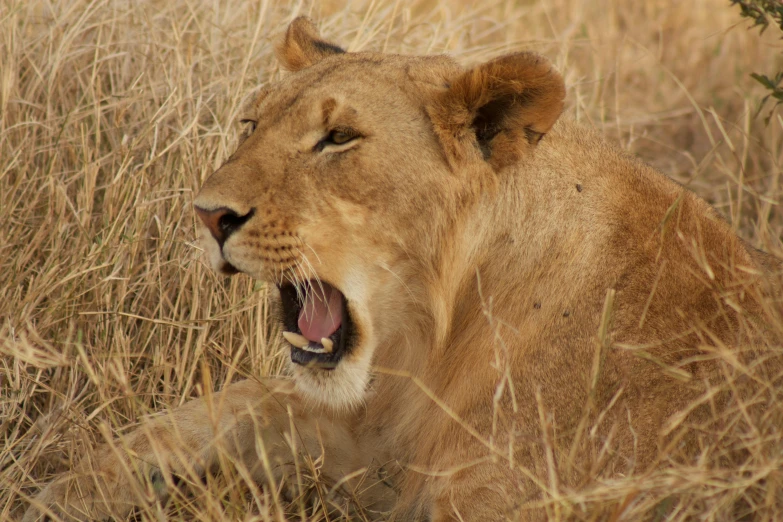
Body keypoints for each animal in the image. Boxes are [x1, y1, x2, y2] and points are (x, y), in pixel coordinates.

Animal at [21, 16, 780, 520]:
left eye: (337, 139)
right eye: (250, 125)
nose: (206, 216)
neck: (443, 330)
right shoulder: (372, 429)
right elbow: (227, 407)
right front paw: (65, 492)